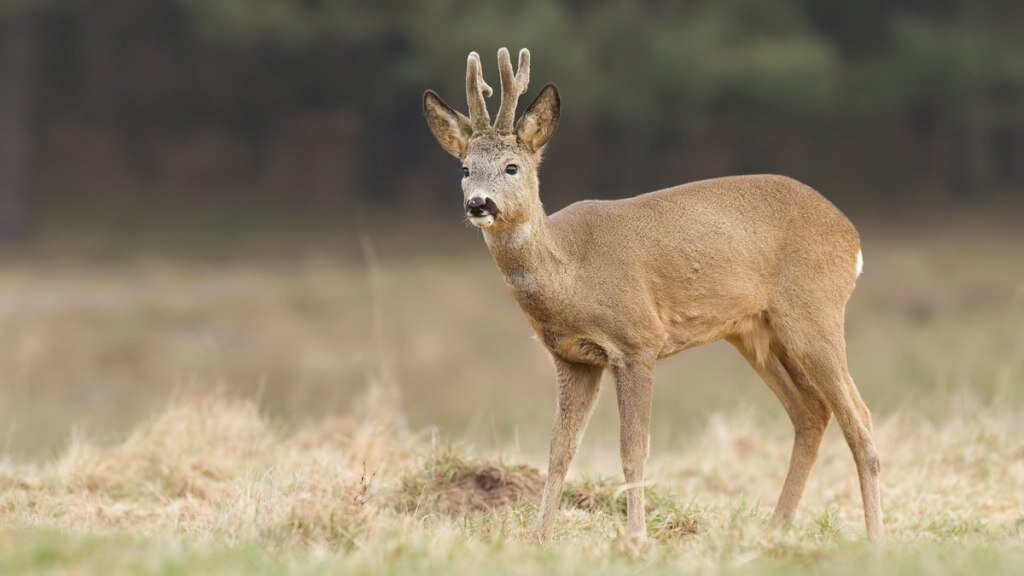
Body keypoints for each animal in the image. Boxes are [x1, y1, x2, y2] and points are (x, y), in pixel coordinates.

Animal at [419, 45, 884, 541]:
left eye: (512, 167)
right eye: (465, 169)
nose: (478, 204)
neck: (572, 273)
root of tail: (851, 236)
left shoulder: (638, 339)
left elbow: (633, 449)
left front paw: (636, 537)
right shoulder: (573, 358)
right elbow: (560, 449)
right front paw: (540, 537)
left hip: (813, 311)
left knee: (860, 418)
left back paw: (875, 539)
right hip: (755, 332)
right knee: (811, 412)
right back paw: (774, 530)